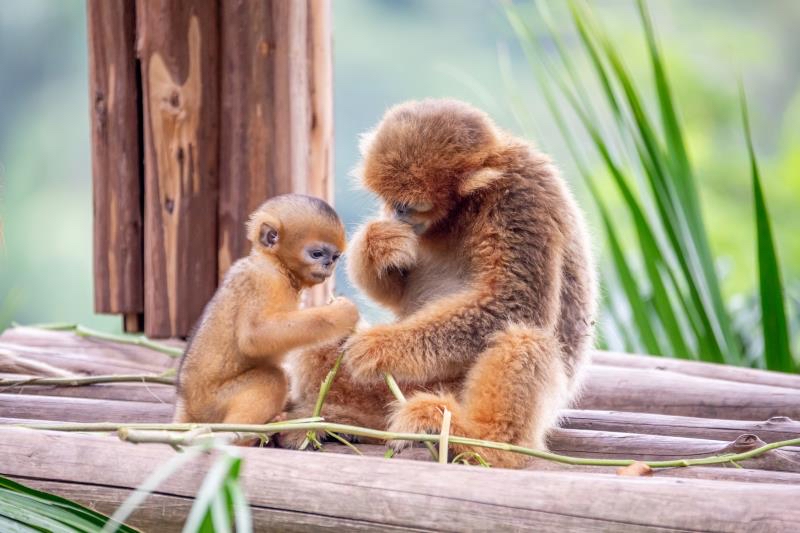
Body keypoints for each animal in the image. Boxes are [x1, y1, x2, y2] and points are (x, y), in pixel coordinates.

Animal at [177, 193, 360, 430]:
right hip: (212, 404)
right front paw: (343, 313)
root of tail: (187, 403)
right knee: (271, 379)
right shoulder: (265, 280)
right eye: (317, 254)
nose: (329, 264)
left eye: (335, 257)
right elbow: (254, 337)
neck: (278, 265)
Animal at [282, 100, 592, 466]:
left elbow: (512, 303)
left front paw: (379, 346)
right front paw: (379, 244)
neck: (466, 208)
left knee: (525, 338)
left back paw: (480, 440)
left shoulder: (520, 197)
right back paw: (342, 421)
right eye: (391, 202)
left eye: (410, 206)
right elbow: (396, 291)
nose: (396, 213)